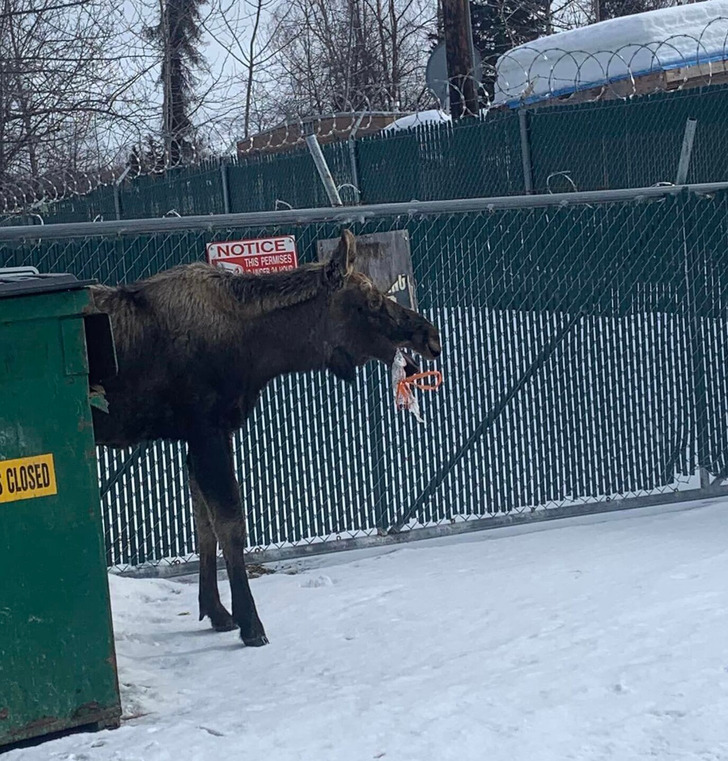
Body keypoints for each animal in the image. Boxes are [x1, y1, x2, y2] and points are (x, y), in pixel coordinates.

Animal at [89, 229, 444, 644]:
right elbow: (231, 526)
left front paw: (216, 611)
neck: (259, 353)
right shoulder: (207, 429)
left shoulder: (201, 436)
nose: (431, 336)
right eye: (371, 301)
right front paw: (250, 622)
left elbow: (204, 526)